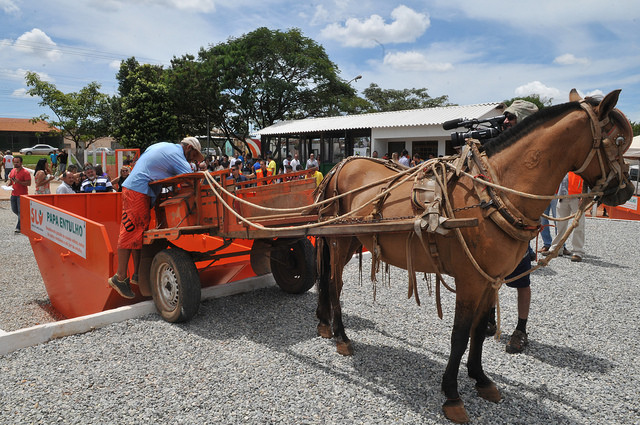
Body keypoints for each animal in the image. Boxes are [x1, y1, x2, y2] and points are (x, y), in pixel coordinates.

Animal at [312, 88, 632, 420]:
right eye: (620, 140)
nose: (626, 189)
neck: (493, 194)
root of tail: (339, 167)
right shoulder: (469, 280)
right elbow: (459, 334)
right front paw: (452, 394)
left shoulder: (491, 279)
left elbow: (477, 331)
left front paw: (481, 378)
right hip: (339, 242)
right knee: (334, 284)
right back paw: (341, 336)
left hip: (347, 240)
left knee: (331, 283)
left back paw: (326, 325)